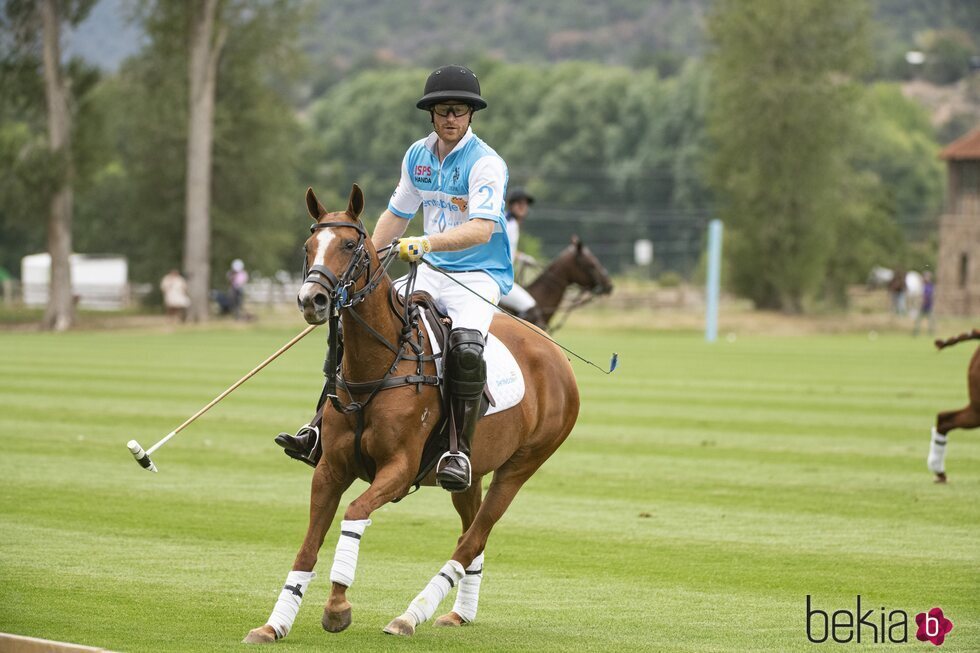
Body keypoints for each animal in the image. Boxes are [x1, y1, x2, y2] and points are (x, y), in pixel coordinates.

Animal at [245, 183, 580, 640]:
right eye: (308, 246)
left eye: (349, 245)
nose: (311, 300)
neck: (377, 366)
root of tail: (558, 356)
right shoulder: (330, 468)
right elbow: (308, 545)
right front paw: (274, 624)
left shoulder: (399, 468)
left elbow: (355, 513)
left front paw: (337, 607)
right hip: (470, 470)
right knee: (472, 532)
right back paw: (458, 613)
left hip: (522, 465)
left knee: (474, 537)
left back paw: (410, 615)